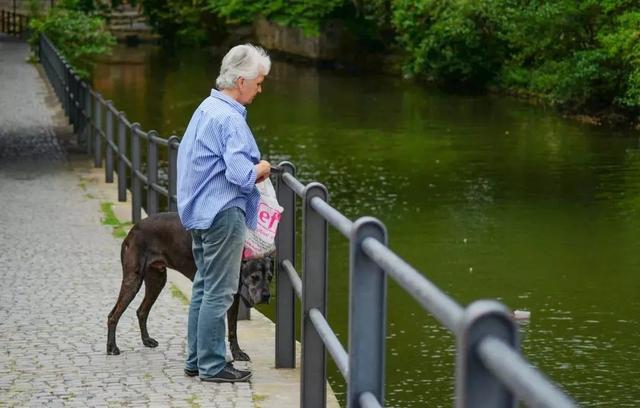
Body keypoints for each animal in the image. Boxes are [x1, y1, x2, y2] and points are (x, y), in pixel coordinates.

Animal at [107, 212, 272, 362]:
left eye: (270, 278)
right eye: (254, 277)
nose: (266, 296)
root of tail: (133, 230)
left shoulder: (233, 294)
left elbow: (232, 327)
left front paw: (236, 353)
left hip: (157, 280)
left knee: (141, 311)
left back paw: (146, 340)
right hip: (133, 281)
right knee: (113, 315)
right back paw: (112, 347)